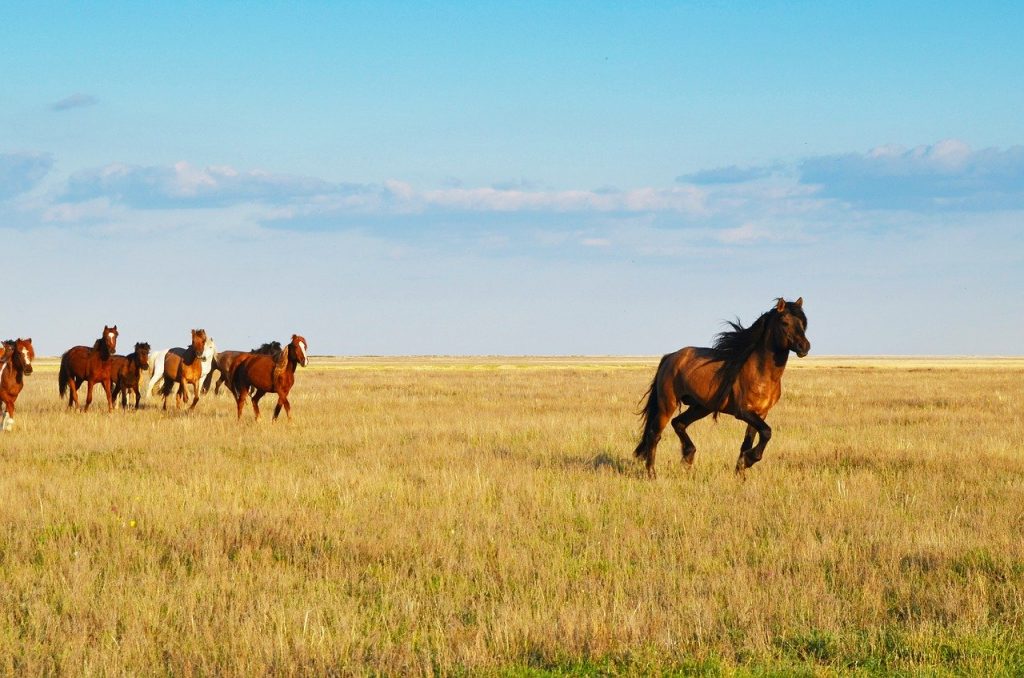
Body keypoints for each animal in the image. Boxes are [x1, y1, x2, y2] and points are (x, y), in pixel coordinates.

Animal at [630, 297, 806, 477]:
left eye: (803, 322)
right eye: (785, 322)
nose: (804, 347)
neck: (761, 372)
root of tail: (670, 357)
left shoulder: (760, 413)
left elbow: (748, 442)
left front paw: (740, 472)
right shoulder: (743, 412)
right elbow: (766, 432)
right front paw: (749, 460)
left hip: (701, 407)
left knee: (678, 423)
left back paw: (688, 457)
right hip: (668, 404)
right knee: (654, 434)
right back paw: (652, 474)